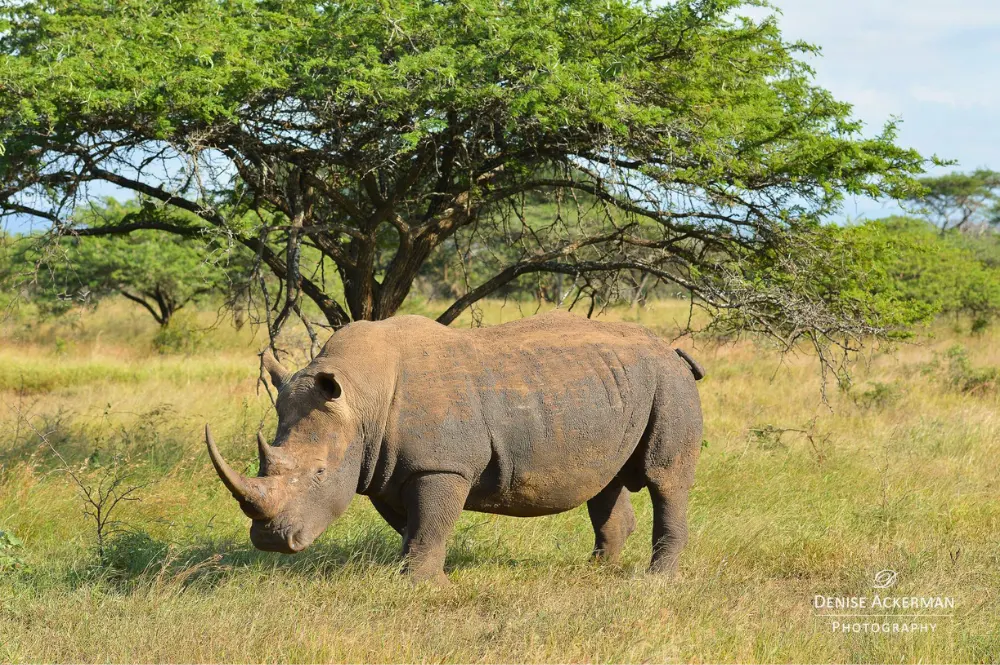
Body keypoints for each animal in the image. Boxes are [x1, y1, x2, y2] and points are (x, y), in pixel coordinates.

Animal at [206, 311, 705, 584]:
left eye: (319, 474)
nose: (270, 541)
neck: (361, 397)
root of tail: (672, 350)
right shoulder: (386, 467)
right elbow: (415, 527)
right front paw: (409, 575)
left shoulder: (441, 465)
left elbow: (430, 524)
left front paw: (423, 587)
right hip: (607, 387)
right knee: (605, 480)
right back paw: (596, 572)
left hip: (669, 383)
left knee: (665, 478)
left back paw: (655, 581)